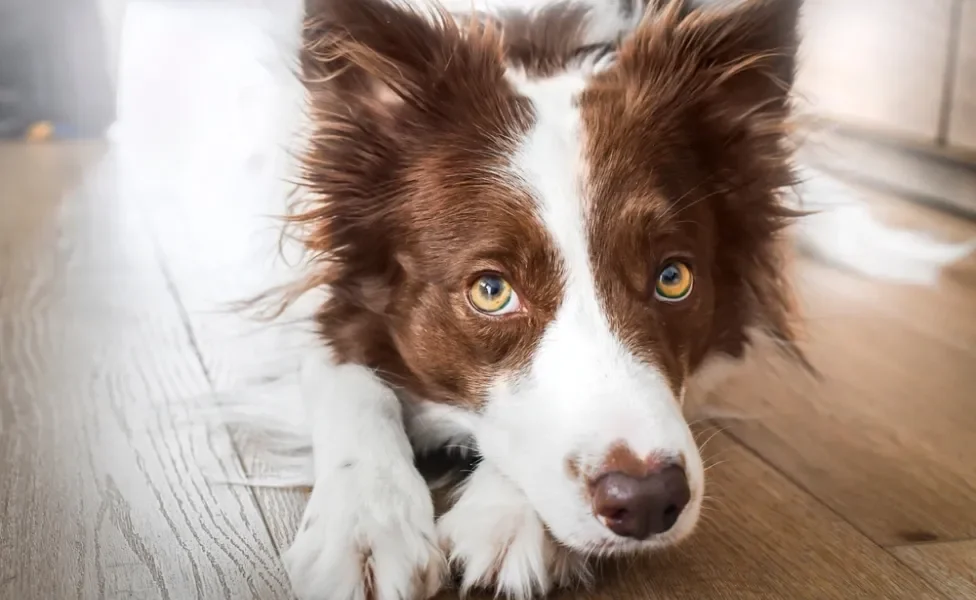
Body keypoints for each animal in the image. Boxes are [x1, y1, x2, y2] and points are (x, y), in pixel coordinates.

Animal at [217, 1, 972, 600]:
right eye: (491, 290)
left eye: (673, 277)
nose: (647, 503)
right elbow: (348, 381)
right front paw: (366, 526)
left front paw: (508, 515)